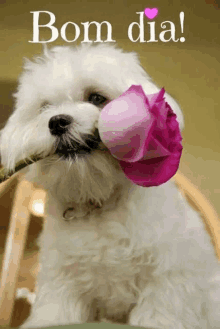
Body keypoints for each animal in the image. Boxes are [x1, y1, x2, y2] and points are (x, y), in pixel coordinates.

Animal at [0, 44, 220, 328]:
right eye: (44, 107)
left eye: (96, 98)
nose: (57, 121)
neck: (99, 201)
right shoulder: (62, 284)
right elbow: (56, 313)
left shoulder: (167, 279)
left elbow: (159, 315)